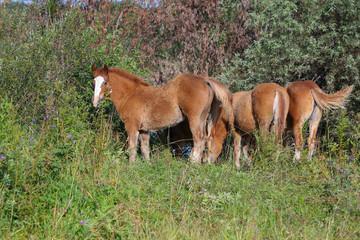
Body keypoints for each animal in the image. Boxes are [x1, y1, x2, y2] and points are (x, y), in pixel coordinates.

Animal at [89, 64, 231, 163]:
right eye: (93, 82)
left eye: (105, 82)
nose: (95, 102)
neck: (130, 94)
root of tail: (204, 79)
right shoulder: (144, 130)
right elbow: (145, 149)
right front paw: (148, 166)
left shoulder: (132, 126)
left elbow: (132, 146)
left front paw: (131, 166)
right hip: (202, 118)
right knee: (206, 140)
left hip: (194, 118)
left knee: (198, 140)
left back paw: (192, 164)